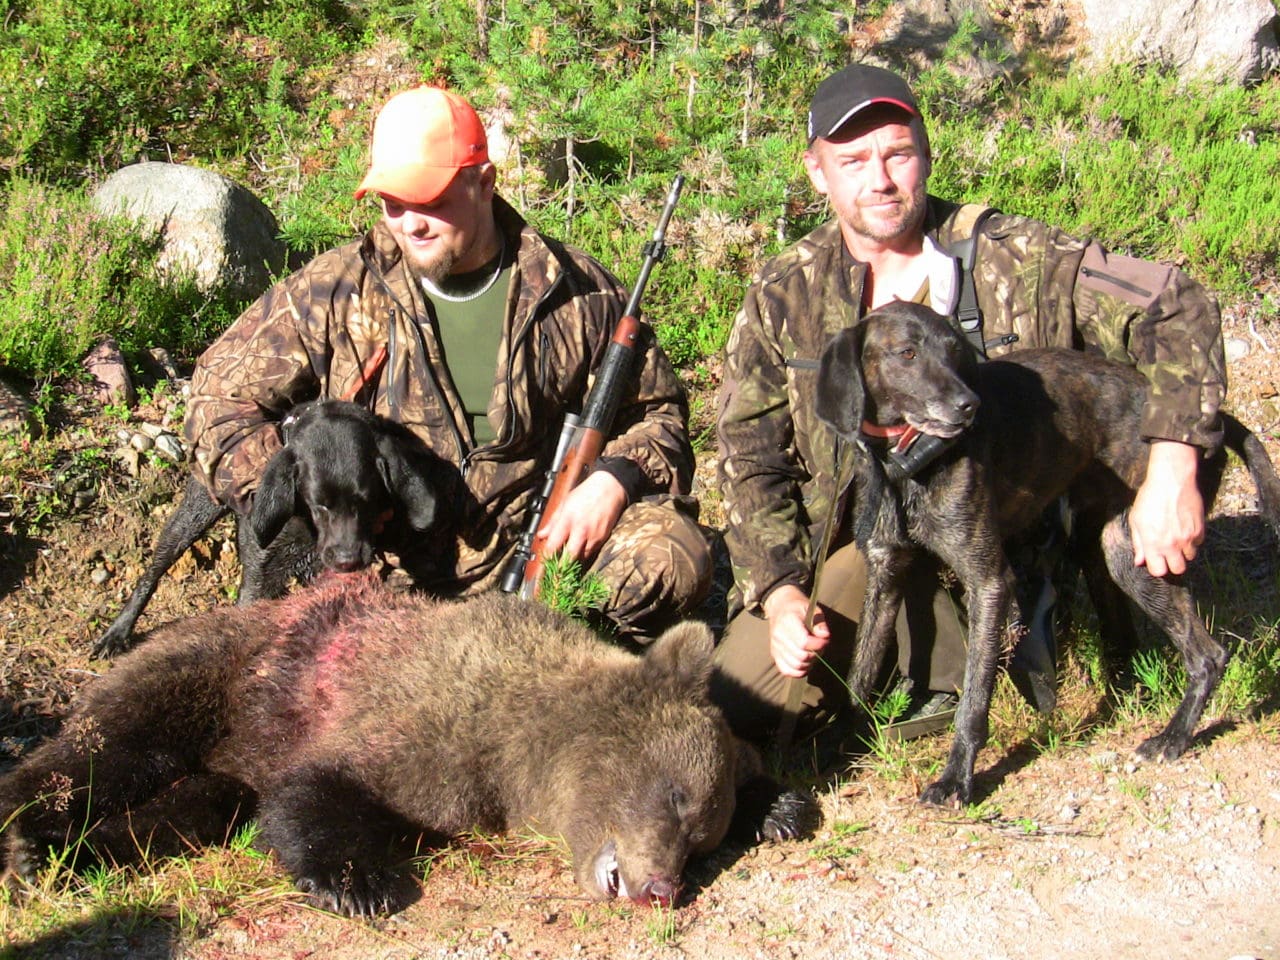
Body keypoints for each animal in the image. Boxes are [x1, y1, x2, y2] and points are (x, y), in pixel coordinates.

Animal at [0, 570, 803, 916]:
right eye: (674, 798)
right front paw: (360, 883)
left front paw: (779, 806)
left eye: (701, 838)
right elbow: (321, 786)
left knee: (190, 804)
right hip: (222, 670)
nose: (661, 888)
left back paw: (76, 855)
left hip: (230, 756)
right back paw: (27, 835)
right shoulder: (431, 725)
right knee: (110, 744)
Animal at [92, 399, 448, 660]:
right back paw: (117, 632)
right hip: (192, 516)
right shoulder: (259, 580)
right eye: (318, 503)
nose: (348, 560)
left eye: (368, 500)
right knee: (153, 571)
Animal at [819, 304, 1280, 808]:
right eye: (906, 353)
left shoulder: (988, 581)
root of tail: (1216, 423)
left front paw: (956, 778)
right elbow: (859, 674)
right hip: (1107, 545)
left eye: (955, 350)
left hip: (1136, 549)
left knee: (1209, 655)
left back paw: (1171, 739)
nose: (968, 405)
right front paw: (835, 744)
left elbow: (973, 700)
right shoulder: (885, 575)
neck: (906, 463)